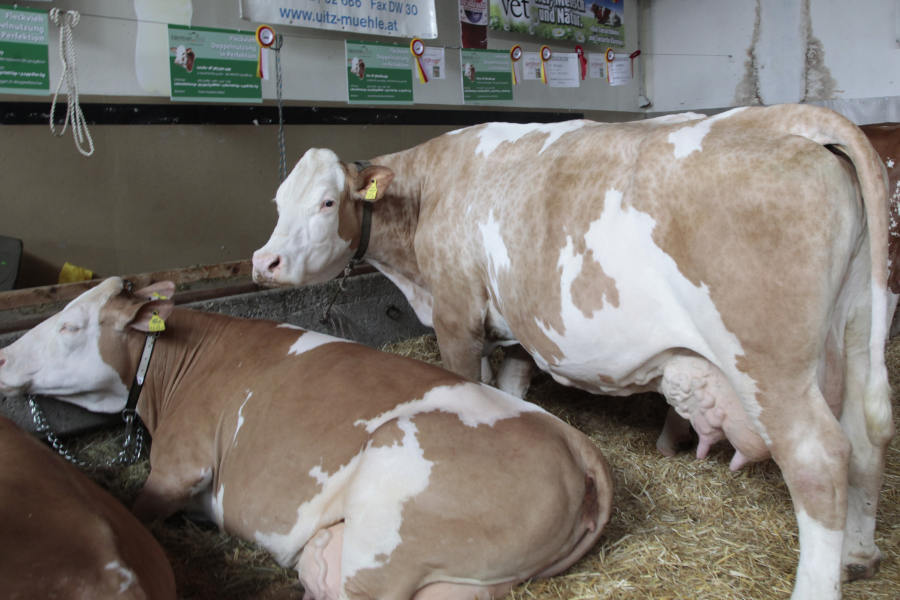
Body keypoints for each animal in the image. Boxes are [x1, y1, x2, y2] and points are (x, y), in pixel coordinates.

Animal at [250, 104, 894, 600]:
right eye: (277, 201)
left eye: (327, 203)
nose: (264, 262)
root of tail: (785, 118)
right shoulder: (515, 328)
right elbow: (510, 391)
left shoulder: (458, 317)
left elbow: (469, 381)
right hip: (860, 328)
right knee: (865, 439)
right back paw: (859, 554)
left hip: (770, 365)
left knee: (819, 459)